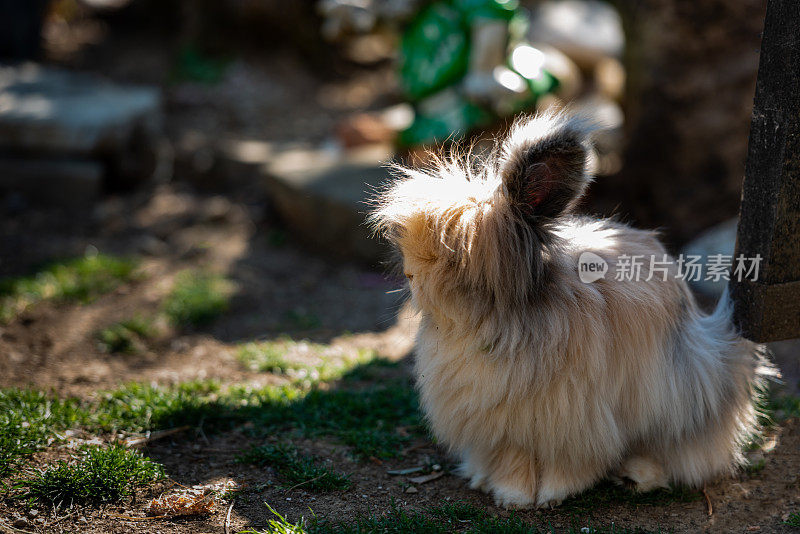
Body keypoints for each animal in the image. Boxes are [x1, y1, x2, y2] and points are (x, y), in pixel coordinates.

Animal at [370, 111, 776, 508]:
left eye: (454, 256)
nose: (410, 274)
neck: (500, 322)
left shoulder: (571, 420)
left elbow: (568, 464)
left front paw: (551, 495)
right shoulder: (505, 426)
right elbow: (512, 461)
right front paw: (511, 495)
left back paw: (638, 476)